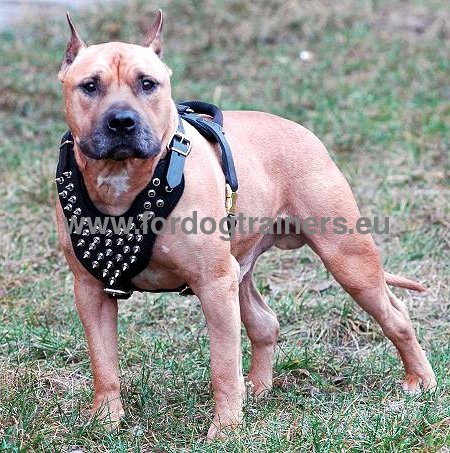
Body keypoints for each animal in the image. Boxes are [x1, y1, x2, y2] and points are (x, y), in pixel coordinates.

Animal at [57, 9, 436, 438]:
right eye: (90, 85)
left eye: (147, 83)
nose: (122, 121)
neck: (125, 181)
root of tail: (302, 130)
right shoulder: (90, 292)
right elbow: (103, 362)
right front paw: (106, 419)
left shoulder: (213, 285)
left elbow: (223, 366)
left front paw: (225, 428)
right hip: (242, 272)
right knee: (265, 323)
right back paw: (258, 387)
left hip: (349, 261)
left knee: (395, 316)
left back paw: (421, 381)